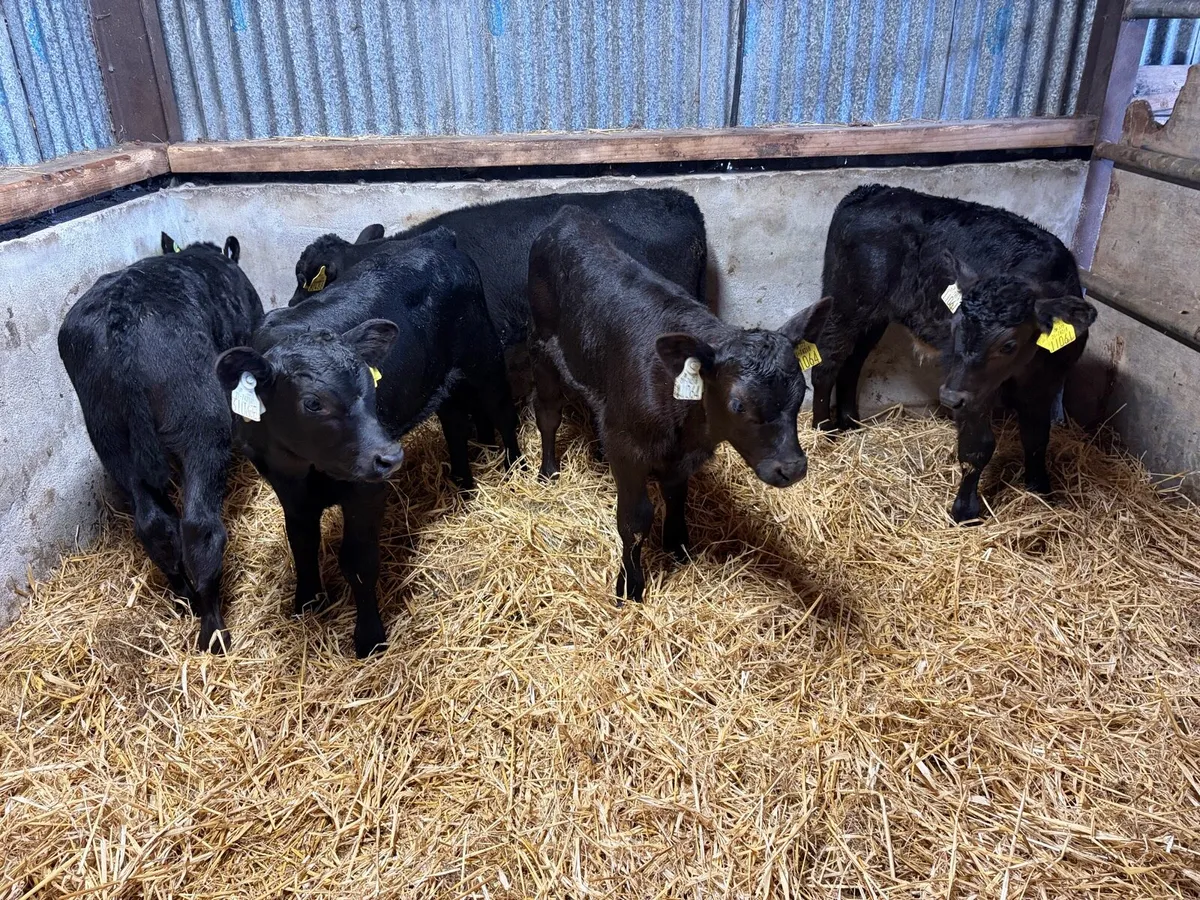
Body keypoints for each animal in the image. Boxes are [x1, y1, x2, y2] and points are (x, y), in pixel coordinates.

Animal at [58, 233, 263, 652]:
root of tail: (120, 316)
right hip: (201, 422)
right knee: (199, 528)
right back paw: (213, 629)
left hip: (111, 441)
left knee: (155, 525)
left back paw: (185, 598)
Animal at [215, 228, 519, 657]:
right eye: (313, 403)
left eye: (371, 386)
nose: (390, 456)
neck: (305, 466)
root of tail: (437, 238)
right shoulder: (285, 486)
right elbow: (301, 541)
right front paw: (306, 601)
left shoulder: (366, 490)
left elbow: (358, 562)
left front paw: (370, 637)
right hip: (440, 379)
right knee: (454, 423)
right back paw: (463, 486)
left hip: (483, 352)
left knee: (503, 409)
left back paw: (515, 467)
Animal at [528, 206, 830, 604]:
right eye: (737, 404)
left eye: (801, 392)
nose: (792, 468)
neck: (689, 427)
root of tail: (568, 213)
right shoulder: (628, 449)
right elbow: (634, 520)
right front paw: (630, 585)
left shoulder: (681, 457)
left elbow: (676, 495)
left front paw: (678, 545)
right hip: (542, 346)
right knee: (548, 412)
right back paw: (548, 471)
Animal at [809, 184, 1096, 523]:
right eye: (955, 326)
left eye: (1009, 344)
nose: (947, 397)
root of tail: (870, 190)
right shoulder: (968, 388)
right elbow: (978, 446)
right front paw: (965, 511)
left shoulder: (1046, 381)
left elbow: (1037, 437)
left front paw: (1041, 491)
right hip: (847, 300)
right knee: (827, 363)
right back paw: (822, 431)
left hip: (874, 315)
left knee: (853, 361)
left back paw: (850, 422)